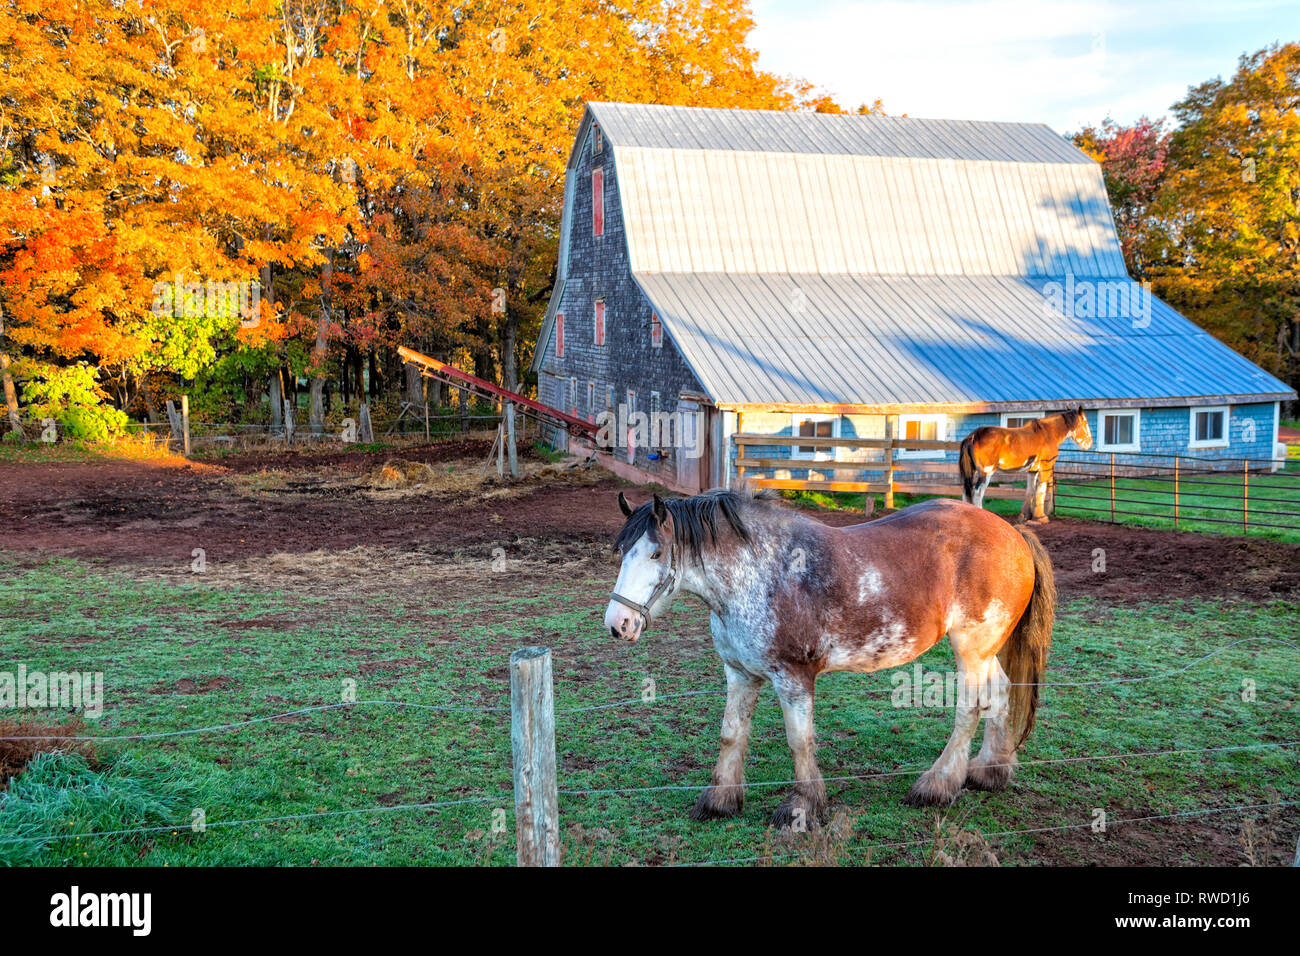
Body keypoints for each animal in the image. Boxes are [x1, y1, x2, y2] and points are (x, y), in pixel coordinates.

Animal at [603, 489, 1050, 827]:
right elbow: (732, 732)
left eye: (656, 554)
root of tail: (1012, 532)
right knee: (1002, 692)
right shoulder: (740, 673)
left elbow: (799, 740)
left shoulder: (794, 677)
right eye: (623, 550)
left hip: (970, 647)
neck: (760, 573)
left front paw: (803, 806)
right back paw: (990, 771)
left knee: (971, 706)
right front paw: (720, 800)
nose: (618, 623)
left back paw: (937, 785)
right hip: (987, 649)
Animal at [961, 405, 1092, 522]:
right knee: (977, 493)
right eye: (1085, 422)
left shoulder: (1032, 471)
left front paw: (1025, 515)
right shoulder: (1045, 468)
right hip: (986, 473)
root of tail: (973, 436)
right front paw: (1040, 517)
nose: (1089, 443)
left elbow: (1030, 491)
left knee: (966, 492)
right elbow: (1041, 491)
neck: (1048, 434)